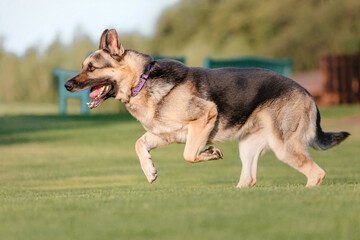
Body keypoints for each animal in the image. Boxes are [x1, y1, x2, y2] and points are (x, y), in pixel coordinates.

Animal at [64, 28, 348, 188]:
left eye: (91, 68)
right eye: (83, 66)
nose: (66, 84)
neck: (142, 81)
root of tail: (308, 94)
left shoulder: (204, 117)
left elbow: (189, 155)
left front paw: (210, 153)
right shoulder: (164, 135)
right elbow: (138, 144)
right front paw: (150, 171)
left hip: (284, 147)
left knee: (316, 173)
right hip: (248, 147)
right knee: (249, 179)